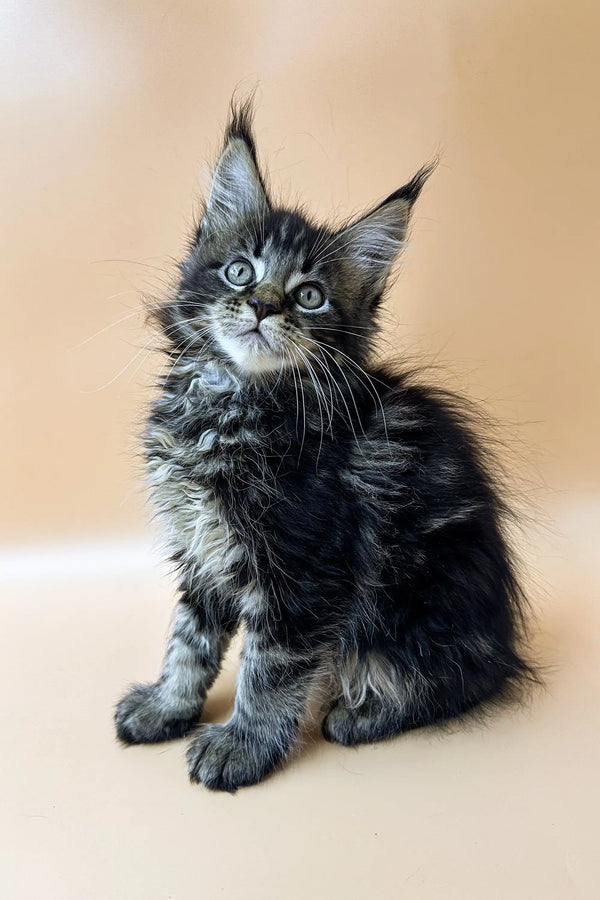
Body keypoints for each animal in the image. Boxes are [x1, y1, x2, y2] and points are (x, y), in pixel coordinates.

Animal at [115, 96, 532, 788]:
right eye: (240, 270)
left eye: (310, 296)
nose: (262, 306)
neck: (233, 402)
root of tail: (505, 641)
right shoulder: (203, 549)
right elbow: (188, 640)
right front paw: (166, 707)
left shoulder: (305, 569)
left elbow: (269, 669)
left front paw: (241, 745)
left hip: (421, 602)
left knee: (459, 682)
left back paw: (363, 713)